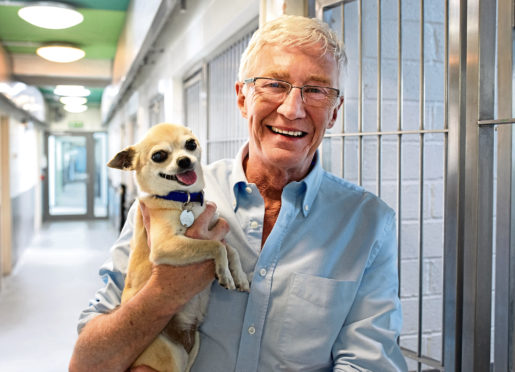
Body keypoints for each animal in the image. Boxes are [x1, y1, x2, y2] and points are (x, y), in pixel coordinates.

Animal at [110, 123, 251, 370]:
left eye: (191, 144)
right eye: (158, 156)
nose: (184, 160)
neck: (183, 200)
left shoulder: (214, 229)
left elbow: (230, 249)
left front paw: (239, 276)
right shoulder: (165, 246)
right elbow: (216, 246)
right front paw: (225, 273)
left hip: (193, 348)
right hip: (170, 356)